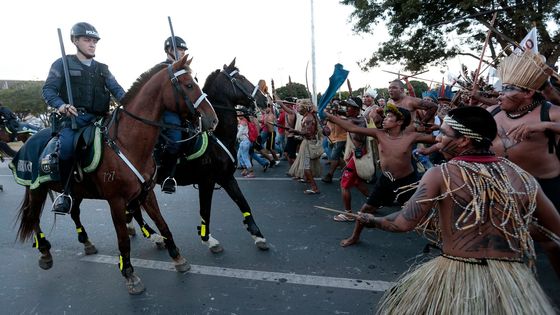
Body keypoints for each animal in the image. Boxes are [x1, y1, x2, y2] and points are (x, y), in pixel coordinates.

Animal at [13, 55, 219, 296]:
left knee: (73, 212)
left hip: (75, 191)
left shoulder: (147, 193)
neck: (127, 143)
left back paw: (86, 243)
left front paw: (177, 258)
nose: (212, 119)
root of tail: (29, 138)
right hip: (36, 189)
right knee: (33, 217)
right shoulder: (116, 201)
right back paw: (45, 252)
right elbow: (123, 240)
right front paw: (130, 274)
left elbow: (163, 223)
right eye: (189, 85)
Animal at [130, 58, 272, 253]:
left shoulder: (226, 177)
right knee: (135, 210)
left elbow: (243, 203)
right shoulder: (207, 180)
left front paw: (257, 235)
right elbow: (205, 210)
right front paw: (208, 239)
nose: (264, 100)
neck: (216, 135)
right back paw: (154, 236)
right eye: (241, 78)